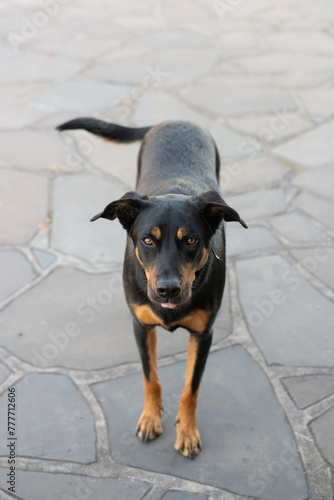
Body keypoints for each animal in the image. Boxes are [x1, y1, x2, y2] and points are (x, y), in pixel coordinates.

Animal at [57, 116, 247, 458]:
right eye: (147, 240)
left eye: (191, 240)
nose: (167, 290)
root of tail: (174, 119)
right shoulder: (141, 325)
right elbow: (150, 378)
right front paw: (150, 418)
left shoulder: (204, 335)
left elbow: (190, 388)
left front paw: (187, 431)